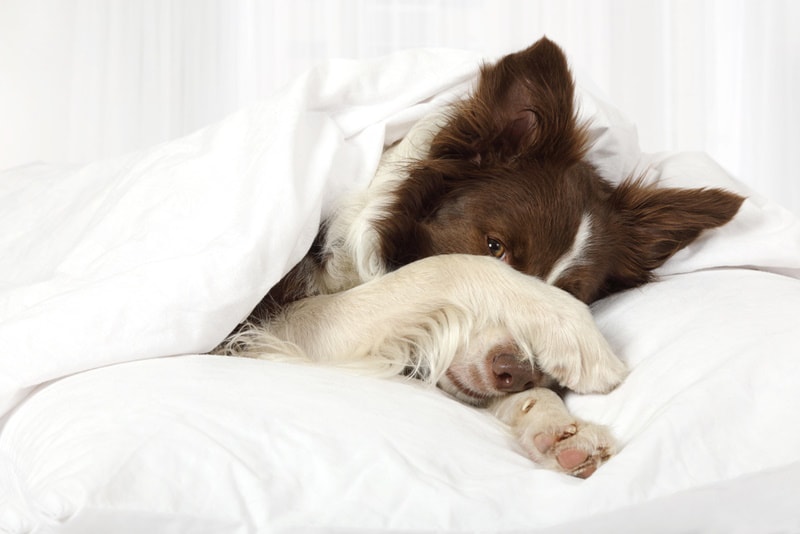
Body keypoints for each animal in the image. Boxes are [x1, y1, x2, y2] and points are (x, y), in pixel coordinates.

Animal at [219, 38, 744, 482]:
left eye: (573, 291)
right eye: (495, 246)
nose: (515, 370)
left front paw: (557, 425)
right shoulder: (262, 324)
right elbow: (435, 270)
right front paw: (573, 337)